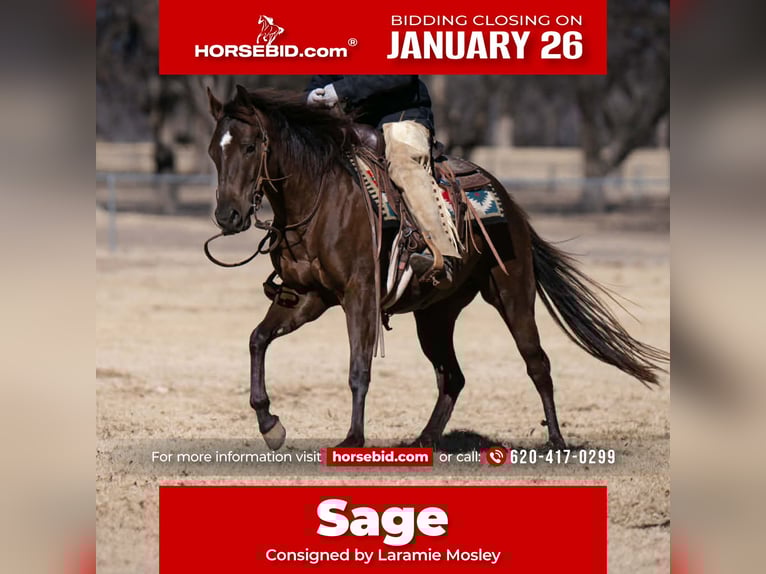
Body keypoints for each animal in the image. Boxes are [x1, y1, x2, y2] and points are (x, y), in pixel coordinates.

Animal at [205, 85, 669, 451]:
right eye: (213, 152)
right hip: (436, 313)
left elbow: (359, 367)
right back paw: (425, 440)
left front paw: (352, 439)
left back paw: (556, 439)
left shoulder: (359, 294)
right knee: (452, 377)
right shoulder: (306, 296)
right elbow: (258, 339)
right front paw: (270, 424)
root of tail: (510, 204)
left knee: (537, 363)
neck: (319, 198)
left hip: (513, 293)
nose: (228, 215)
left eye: (250, 146)